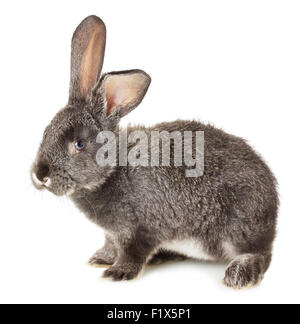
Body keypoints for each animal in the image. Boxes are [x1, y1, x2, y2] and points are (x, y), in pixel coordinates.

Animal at [31, 15, 278, 288]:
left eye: (79, 144)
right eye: (46, 131)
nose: (39, 175)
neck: (114, 170)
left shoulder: (141, 229)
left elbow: (133, 252)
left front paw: (118, 273)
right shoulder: (113, 233)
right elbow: (110, 244)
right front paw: (101, 259)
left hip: (238, 226)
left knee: (261, 254)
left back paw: (239, 274)